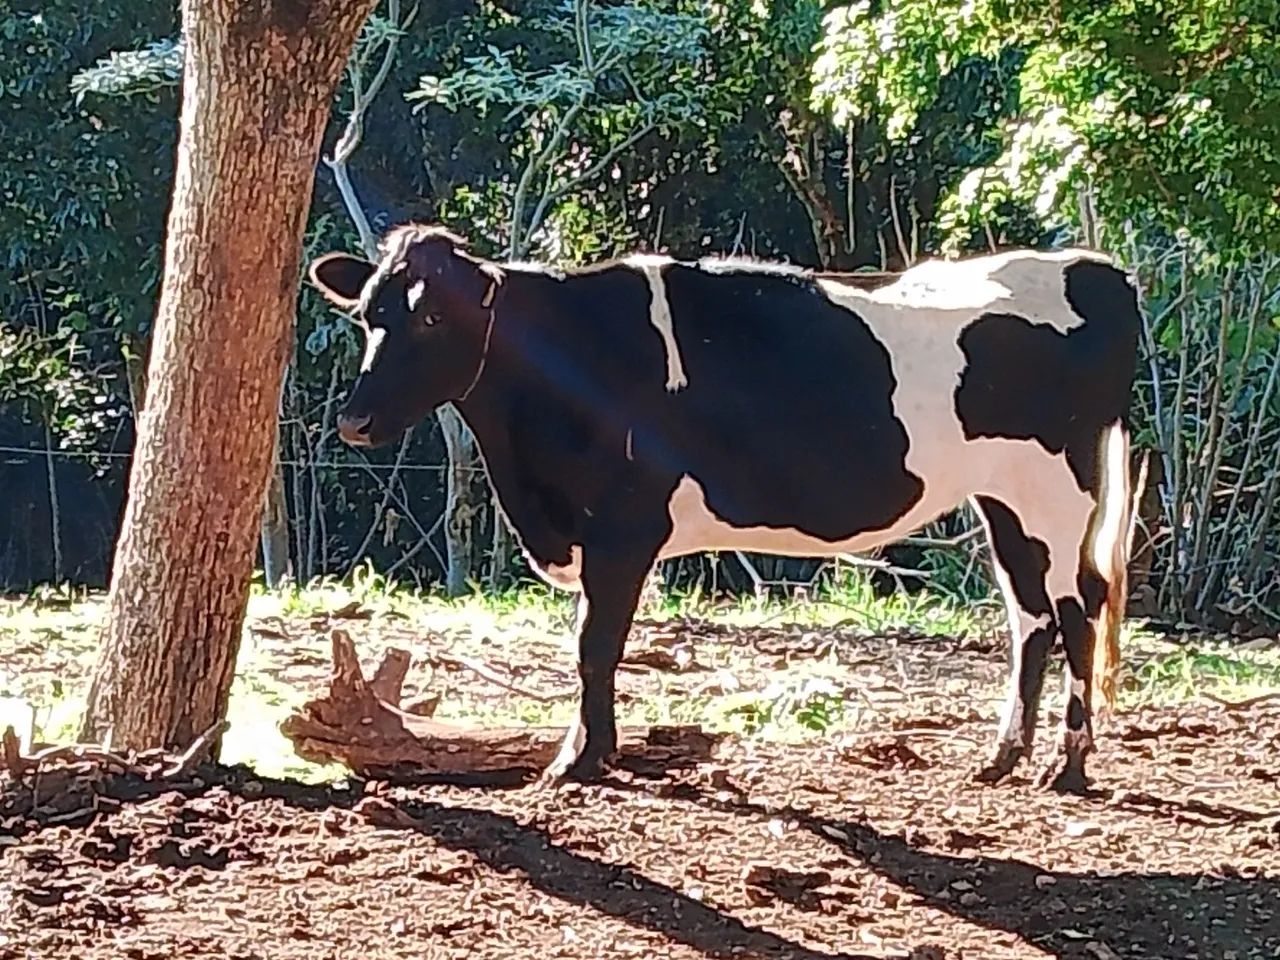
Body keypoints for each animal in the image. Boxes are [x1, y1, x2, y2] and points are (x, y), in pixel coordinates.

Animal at [308, 223, 1140, 793]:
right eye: (369, 314)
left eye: (433, 319)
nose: (354, 420)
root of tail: (1095, 268)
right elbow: (592, 644)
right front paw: (589, 751)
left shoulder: (624, 525)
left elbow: (594, 643)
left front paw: (581, 759)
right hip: (1004, 499)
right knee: (1030, 618)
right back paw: (1002, 758)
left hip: (1059, 491)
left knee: (1077, 611)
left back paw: (1066, 767)